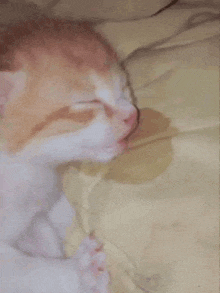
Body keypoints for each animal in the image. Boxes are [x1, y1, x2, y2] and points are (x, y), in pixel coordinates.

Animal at [0, 17, 138, 290]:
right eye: (88, 103)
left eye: (124, 87)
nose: (132, 115)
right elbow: (23, 269)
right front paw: (81, 273)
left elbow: (46, 226)